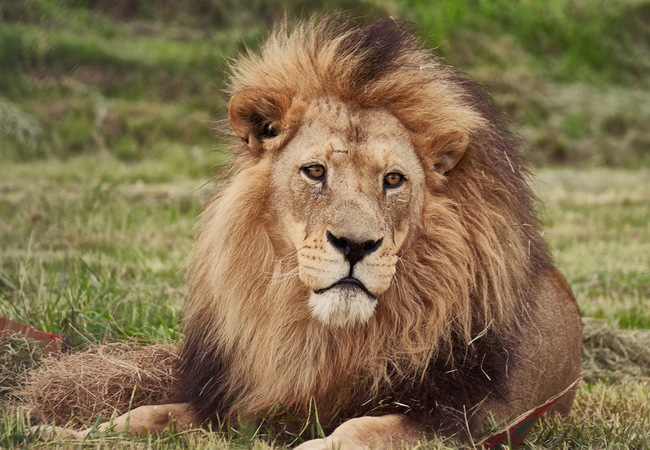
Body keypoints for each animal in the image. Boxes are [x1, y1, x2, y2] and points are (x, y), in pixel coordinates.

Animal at [39, 17, 582, 448]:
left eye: (393, 180)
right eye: (315, 172)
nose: (356, 245)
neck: (319, 336)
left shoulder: (467, 418)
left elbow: (362, 430)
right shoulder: (236, 404)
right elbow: (144, 414)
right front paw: (61, 431)